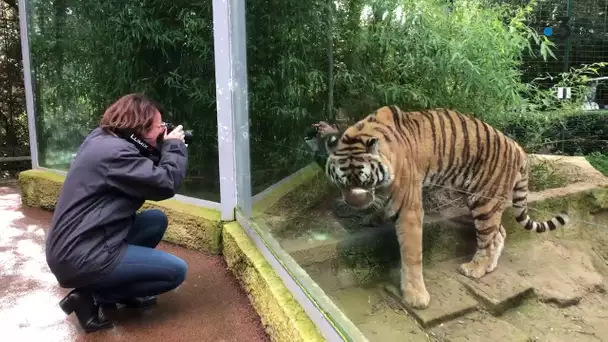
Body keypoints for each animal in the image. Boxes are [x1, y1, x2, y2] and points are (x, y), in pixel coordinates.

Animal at [320, 105, 568, 310]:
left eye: (364, 181)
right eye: (343, 182)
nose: (354, 203)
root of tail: (517, 146)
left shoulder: (410, 211)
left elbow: (412, 255)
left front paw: (416, 296)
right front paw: (372, 217)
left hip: (484, 201)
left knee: (488, 237)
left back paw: (475, 268)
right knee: (500, 233)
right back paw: (489, 266)